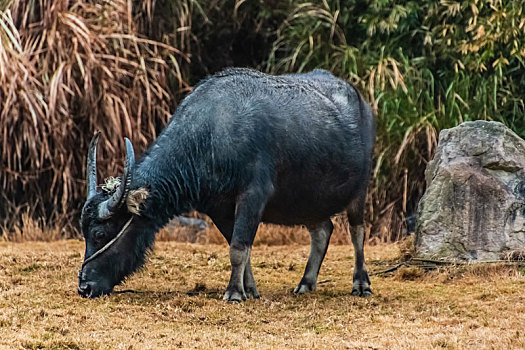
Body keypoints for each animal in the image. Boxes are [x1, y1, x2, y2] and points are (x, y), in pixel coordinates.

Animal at [77, 67, 372, 300]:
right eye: (85, 232)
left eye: (99, 234)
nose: (85, 287)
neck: (209, 138)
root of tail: (361, 102)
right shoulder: (217, 208)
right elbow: (239, 248)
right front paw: (249, 289)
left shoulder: (253, 196)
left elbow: (239, 248)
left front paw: (234, 293)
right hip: (309, 202)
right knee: (322, 230)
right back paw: (306, 283)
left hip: (360, 190)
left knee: (357, 232)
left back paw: (361, 284)